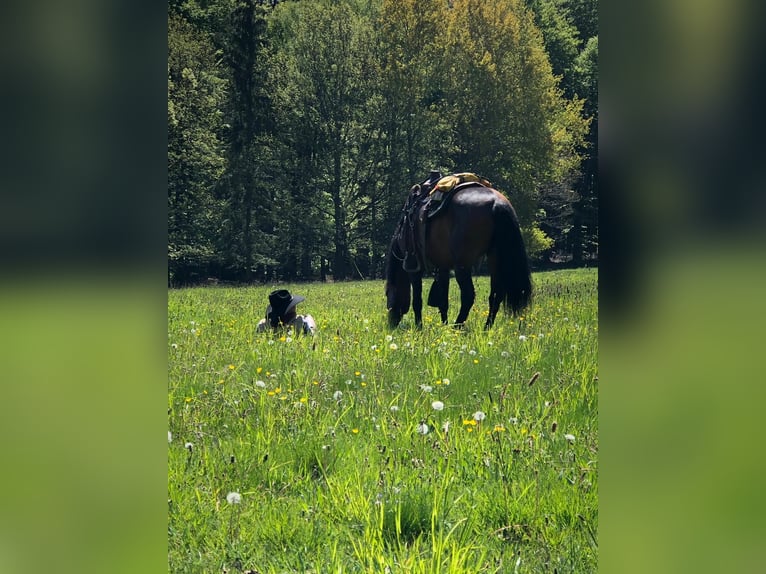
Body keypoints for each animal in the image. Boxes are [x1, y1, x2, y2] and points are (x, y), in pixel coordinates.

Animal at [384, 180, 536, 332]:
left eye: (387, 295)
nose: (391, 323)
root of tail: (496, 203)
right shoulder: (442, 267)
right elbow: (443, 301)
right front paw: (443, 325)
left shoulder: (414, 268)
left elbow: (417, 301)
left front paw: (419, 327)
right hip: (494, 259)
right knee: (495, 295)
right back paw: (485, 328)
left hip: (463, 265)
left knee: (468, 296)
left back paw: (457, 327)